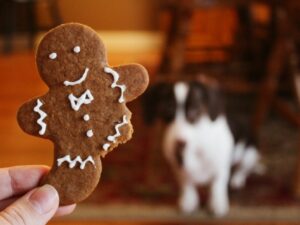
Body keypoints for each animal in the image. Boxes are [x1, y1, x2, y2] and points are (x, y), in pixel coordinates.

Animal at [142, 80, 262, 217]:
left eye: (194, 110)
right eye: (167, 109)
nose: (179, 143)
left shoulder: (220, 169)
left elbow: (217, 187)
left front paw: (217, 204)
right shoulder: (179, 170)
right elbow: (187, 185)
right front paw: (189, 201)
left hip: (250, 154)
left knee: (242, 169)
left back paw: (237, 180)